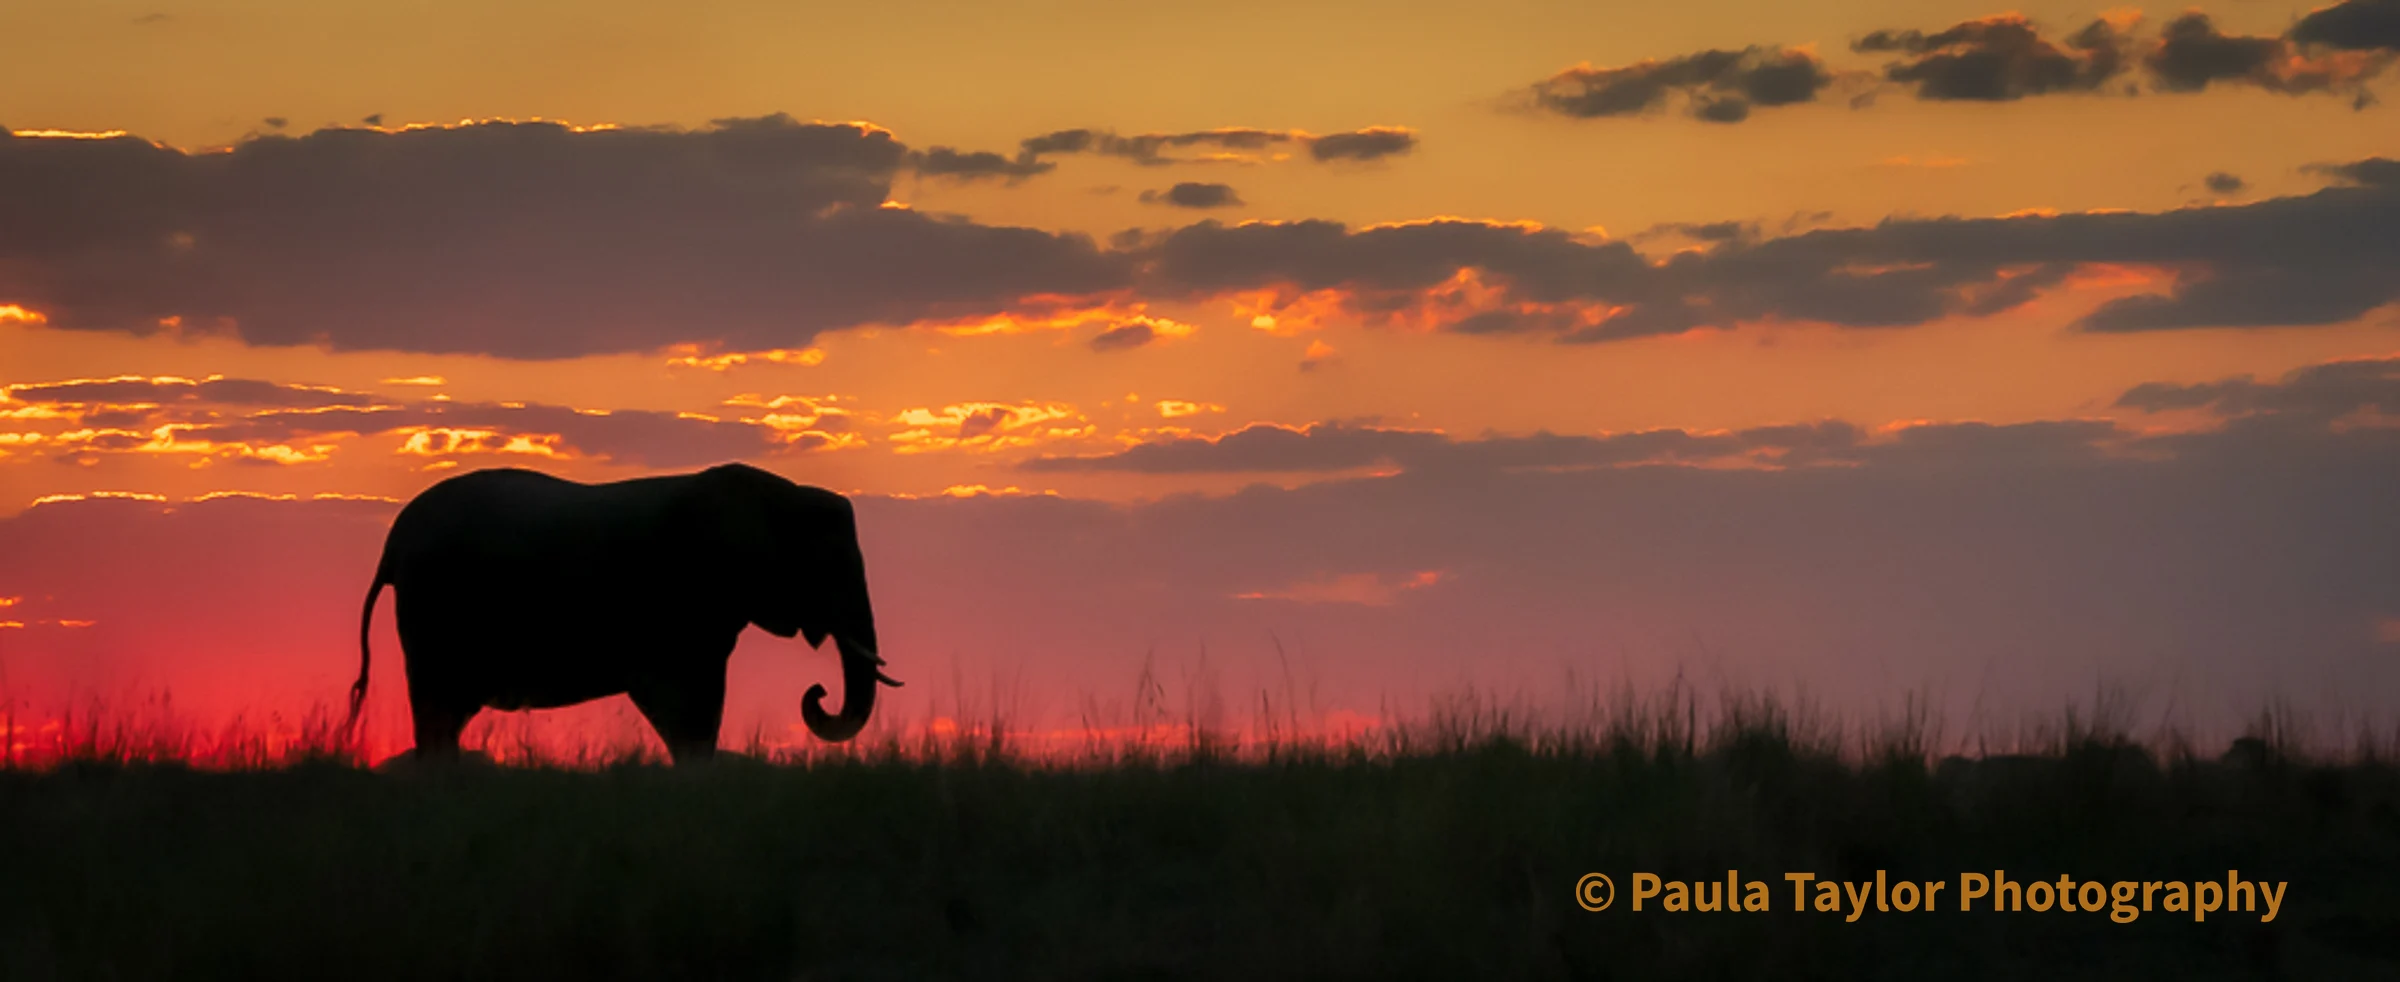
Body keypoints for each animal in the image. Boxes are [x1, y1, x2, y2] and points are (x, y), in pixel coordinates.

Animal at [349, 462, 899, 763]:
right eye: (829, 565)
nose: (817, 693)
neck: (778, 493)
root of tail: (392, 545)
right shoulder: (684, 599)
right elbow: (683, 703)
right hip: (435, 606)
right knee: (438, 712)